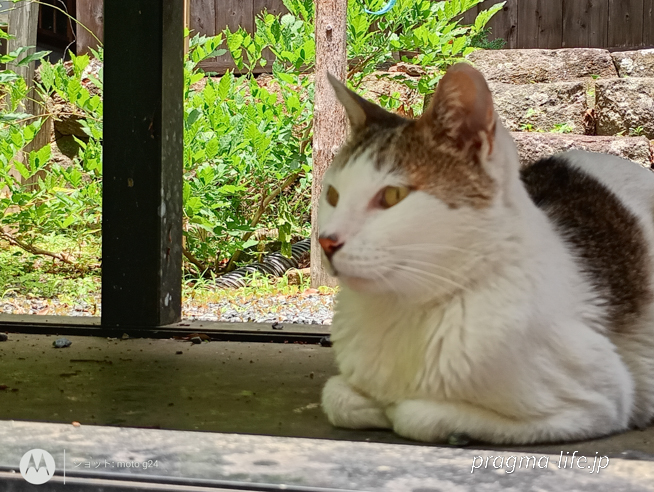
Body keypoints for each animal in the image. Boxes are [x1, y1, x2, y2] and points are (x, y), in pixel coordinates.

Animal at [317, 63, 654, 444]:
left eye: (392, 196)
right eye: (333, 195)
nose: (326, 241)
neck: (399, 310)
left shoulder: (599, 401)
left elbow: (415, 414)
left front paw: (407, 413)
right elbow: (335, 396)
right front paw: (370, 403)